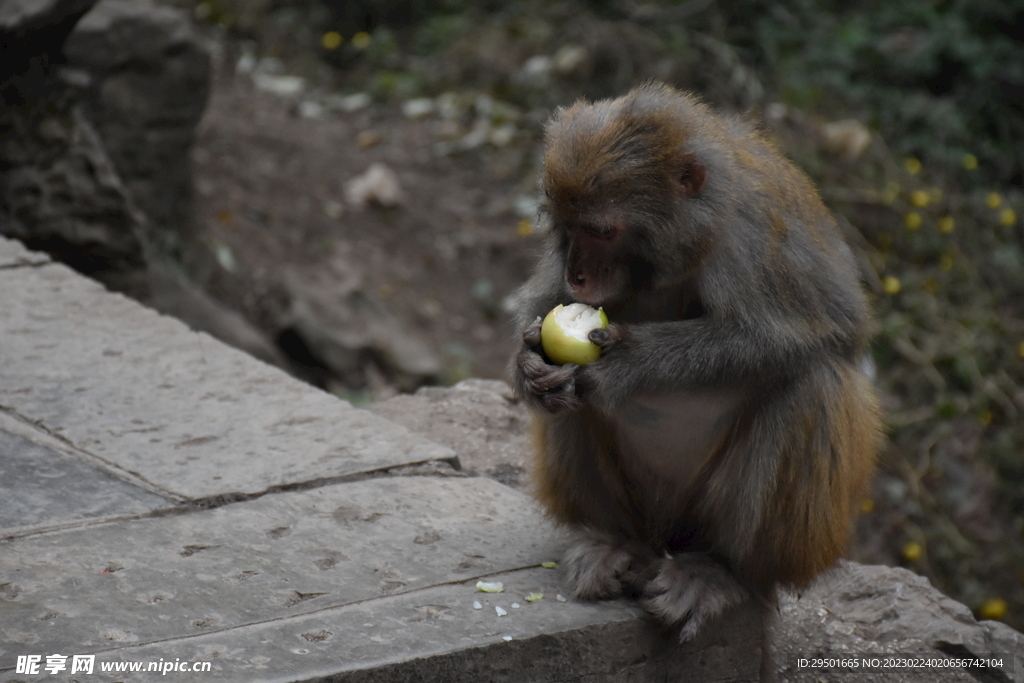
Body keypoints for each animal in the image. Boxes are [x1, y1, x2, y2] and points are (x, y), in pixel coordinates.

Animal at [509, 81, 880, 679]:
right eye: (566, 227)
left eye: (601, 231)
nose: (578, 274)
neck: (697, 232)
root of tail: (666, 534)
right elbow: (543, 304)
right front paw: (529, 366)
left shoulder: (752, 235)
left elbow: (809, 336)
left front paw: (630, 362)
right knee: (576, 410)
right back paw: (616, 543)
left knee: (811, 381)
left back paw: (722, 573)